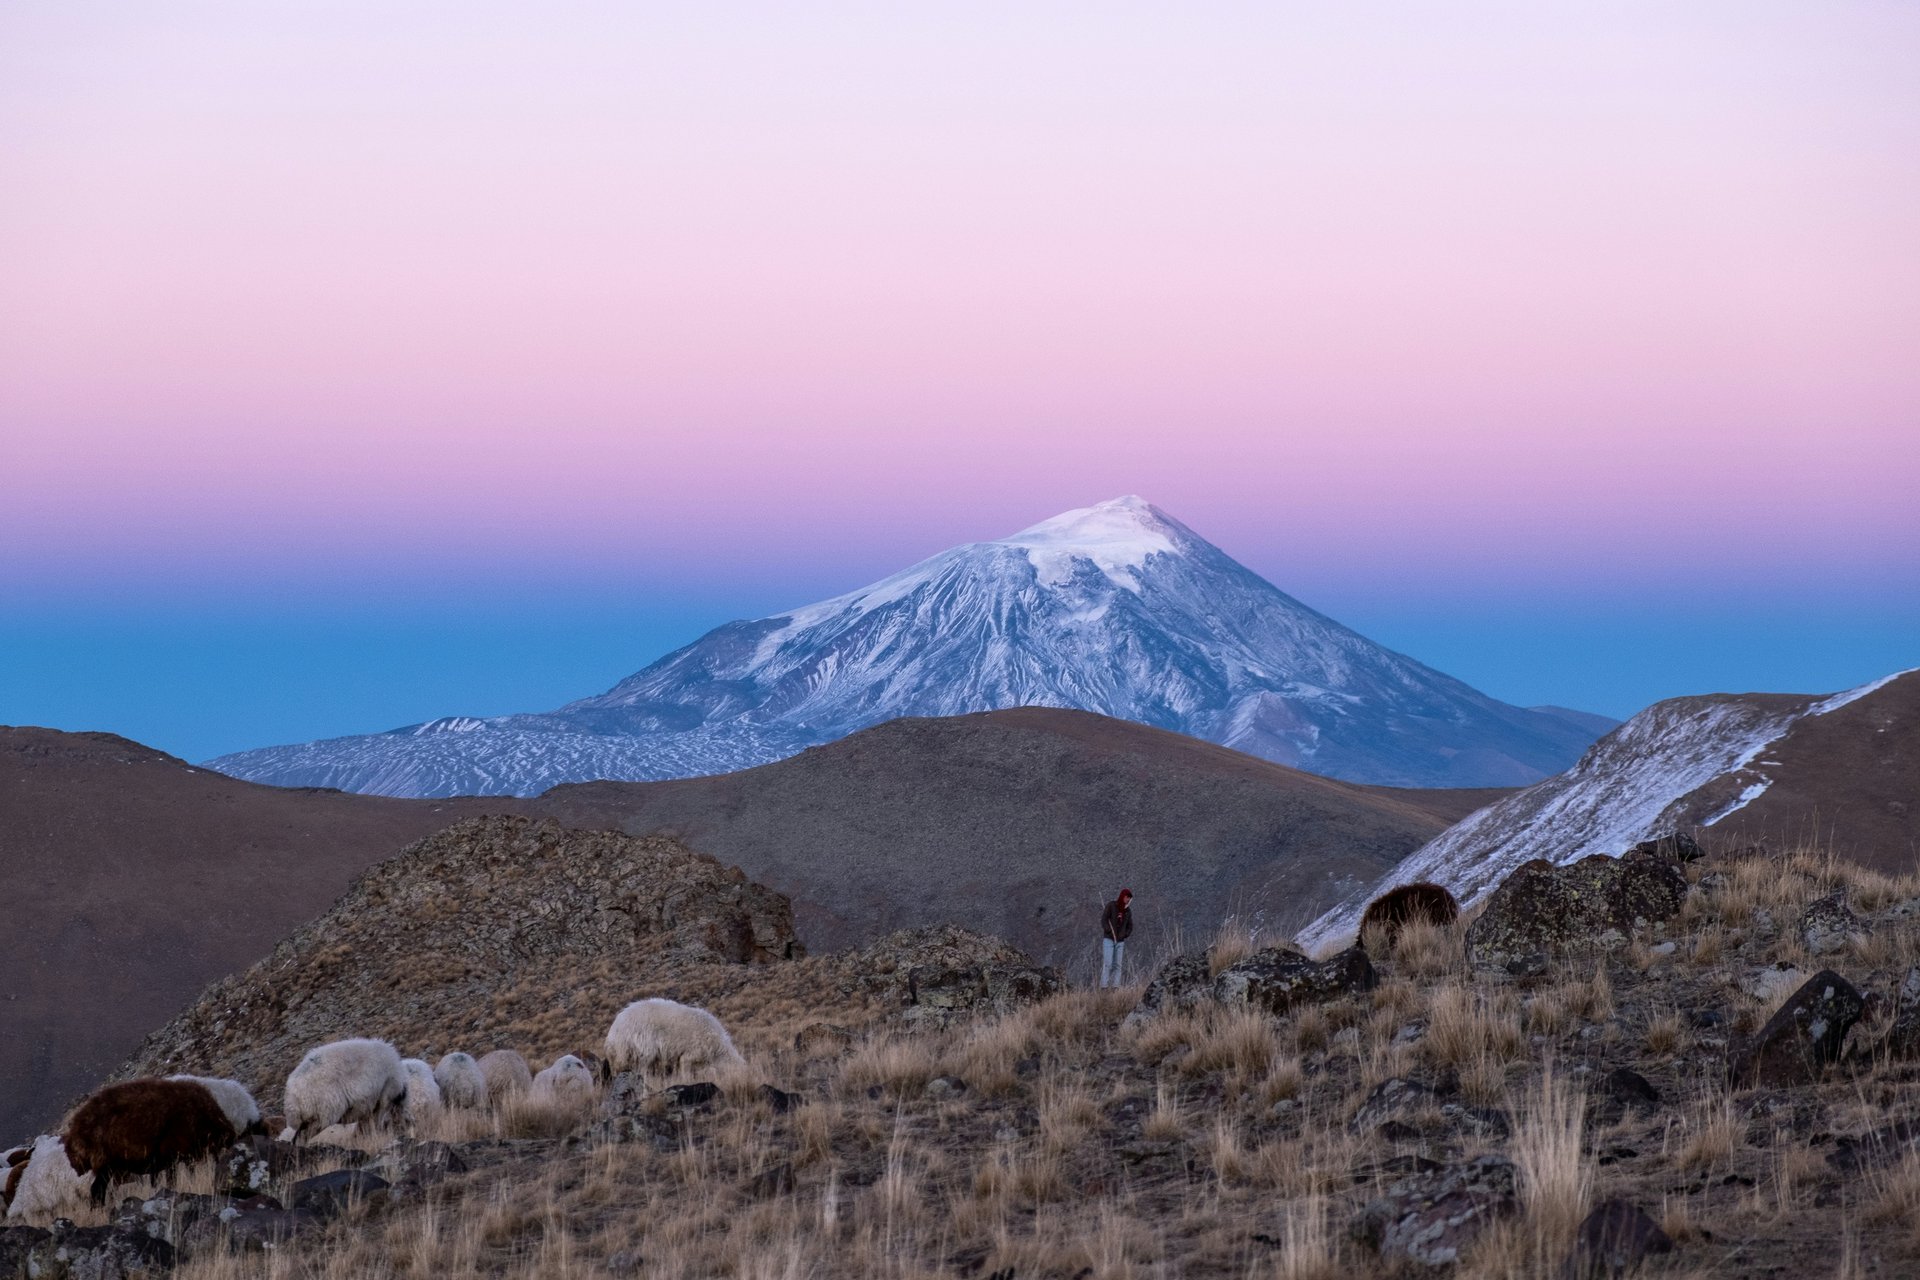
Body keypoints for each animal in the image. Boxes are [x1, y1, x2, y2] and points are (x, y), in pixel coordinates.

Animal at [60, 1074, 239, 1205]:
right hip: (106, 1164)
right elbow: (172, 1182)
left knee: (98, 1190)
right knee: (97, 1190)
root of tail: (75, 1131)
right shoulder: (172, 1156)